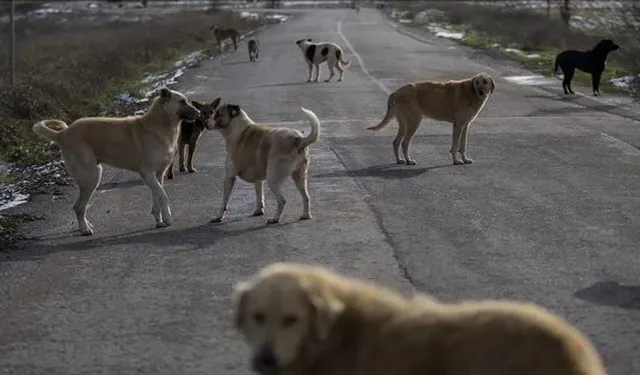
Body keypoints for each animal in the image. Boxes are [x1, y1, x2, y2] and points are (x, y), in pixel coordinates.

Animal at [30, 87, 199, 235]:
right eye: (182, 102)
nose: (198, 113)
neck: (160, 124)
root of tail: (63, 134)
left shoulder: (158, 174)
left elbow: (157, 197)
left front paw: (159, 220)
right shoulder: (147, 173)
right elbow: (163, 196)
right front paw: (168, 218)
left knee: (80, 206)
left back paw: (86, 225)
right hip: (91, 177)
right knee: (78, 207)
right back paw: (85, 229)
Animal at [364, 73, 496, 166]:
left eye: (485, 81)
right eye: (477, 82)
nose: (481, 91)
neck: (470, 92)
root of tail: (396, 92)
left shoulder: (465, 125)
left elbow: (463, 146)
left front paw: (465, 159)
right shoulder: (458, 125)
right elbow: (455, 146)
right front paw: (456, 161)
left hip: (404, 124)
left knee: (396, 142)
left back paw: (400, 160)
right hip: (414, 122)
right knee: (404, 143)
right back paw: (408, 160)